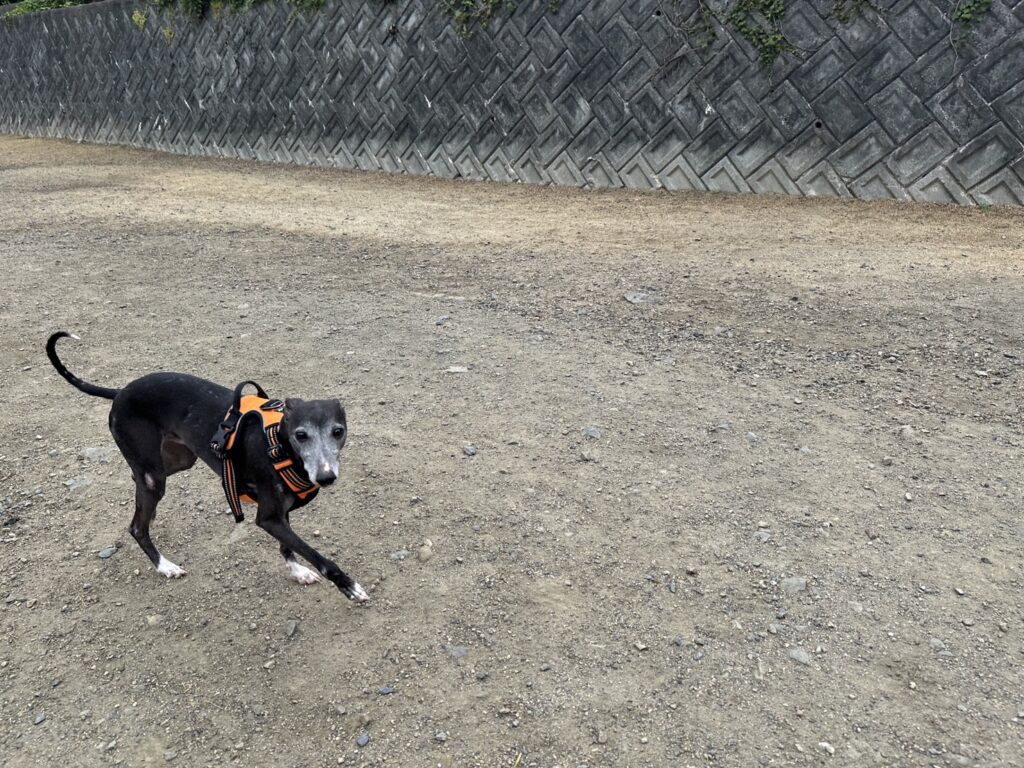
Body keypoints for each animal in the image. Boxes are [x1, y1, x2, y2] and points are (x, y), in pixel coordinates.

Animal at [46, 331, 368, 602]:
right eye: (301, 435)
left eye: (337, 431)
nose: (325, 477)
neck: (279, 442)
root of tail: (120, 392)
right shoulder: (269, 517)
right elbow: (317, 556)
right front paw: (349, 585)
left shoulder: (280, 513)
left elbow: (289, 546)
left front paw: (298, 571)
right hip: (154, 476)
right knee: (136, 526)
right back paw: (164, 565)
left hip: (174, 462)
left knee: (137, 487)